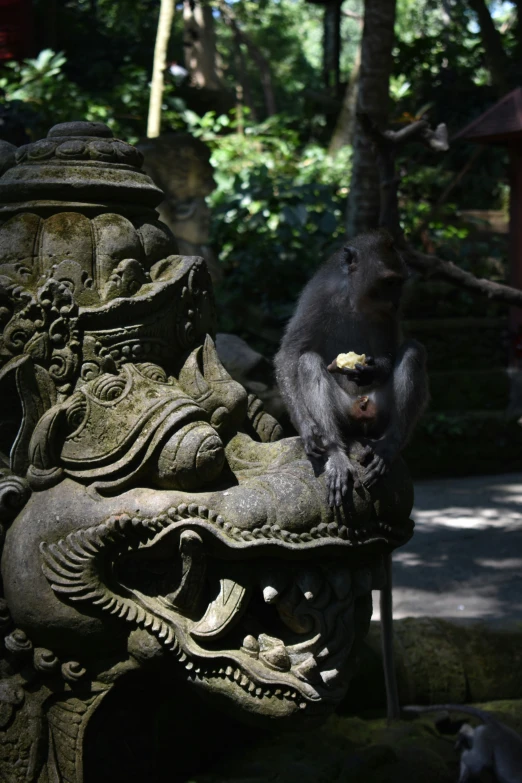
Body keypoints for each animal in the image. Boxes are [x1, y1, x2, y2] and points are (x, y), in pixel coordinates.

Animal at [272, 228, 426, 508]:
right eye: (389, 282)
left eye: (399, 282)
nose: (396, 302)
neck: (355, 297)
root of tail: (361, 407)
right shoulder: (319, 294)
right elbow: (291, 352)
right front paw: (307, 428)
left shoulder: (388, 316)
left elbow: (391, 351)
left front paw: (371, 370)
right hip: (344, 414)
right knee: (308, 362)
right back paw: (336, 451)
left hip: (380, 413)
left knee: (413, 352)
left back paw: (388, 446)